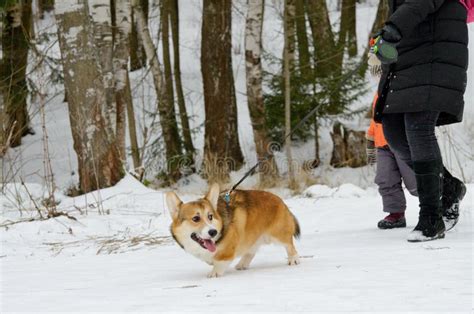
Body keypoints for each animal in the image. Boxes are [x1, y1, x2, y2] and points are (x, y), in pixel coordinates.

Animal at [167, 184, 300, 278]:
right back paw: (242, 264)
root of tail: (281, 201)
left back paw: (293, 259)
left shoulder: (227, 250)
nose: (213, 232)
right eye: (196, 218)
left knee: (290, 245)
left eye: (210, 216)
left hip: (278, 235)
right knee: (251, 251)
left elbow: (219, 260)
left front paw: (214, 273)